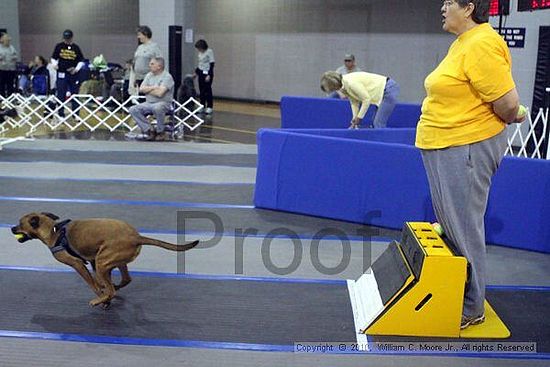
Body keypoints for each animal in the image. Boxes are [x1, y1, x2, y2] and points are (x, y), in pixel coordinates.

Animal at [10, 213, 199, 308]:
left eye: (20, 224)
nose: (12, 228)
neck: (54, 231)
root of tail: (136, 237)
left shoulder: (78, 264)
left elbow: (93, 284)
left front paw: (101, 297)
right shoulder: (93, 262)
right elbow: (99, 283)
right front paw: (104, 293)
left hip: (103, 262)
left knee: (112, 288)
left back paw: (102, 298)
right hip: (112, 261)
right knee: (125, 280)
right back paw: (112, 289)